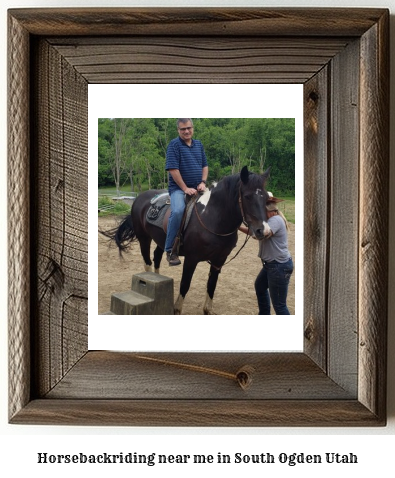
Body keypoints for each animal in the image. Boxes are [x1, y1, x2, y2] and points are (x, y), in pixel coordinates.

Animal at [100, 166, 270, 316]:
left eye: (267, 199)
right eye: (247, 196)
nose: (264, 230)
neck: (212, 218)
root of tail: (140, 198)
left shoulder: (219, 260)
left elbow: (211, 285)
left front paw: (207, 310)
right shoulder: (191, 259)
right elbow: (185, 284)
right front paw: (176, 309)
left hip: (162, 241)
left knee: (157, 257)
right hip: (144, 239)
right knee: (147, 262)